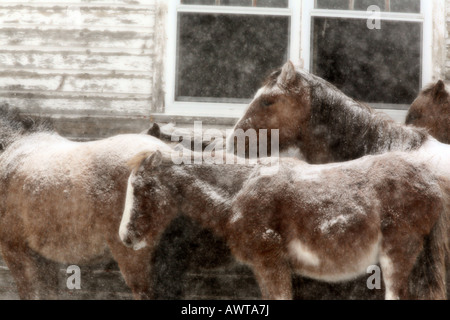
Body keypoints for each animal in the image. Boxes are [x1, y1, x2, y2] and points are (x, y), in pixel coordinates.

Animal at [119, 150, 450, 300]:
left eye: (143, 187)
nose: (126, 236)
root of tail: (429, 180)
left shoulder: (270, 263)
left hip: (398, 255)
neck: (240, 191)